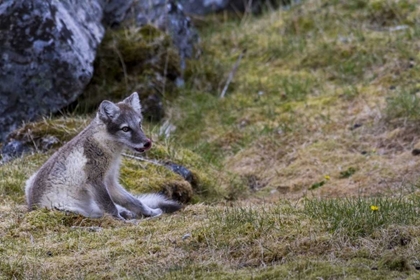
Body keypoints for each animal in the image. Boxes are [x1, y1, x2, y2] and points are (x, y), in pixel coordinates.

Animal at [24, 92, 179, 219]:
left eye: (140, 124)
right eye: (125, 129)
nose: (147, 143)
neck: (104, 145)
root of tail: (32, 207)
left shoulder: (110, 181)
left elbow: (133, 201)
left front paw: (149, 212)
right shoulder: (95, 180)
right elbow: (109, 207)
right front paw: (122, 222)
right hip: (70, 208)